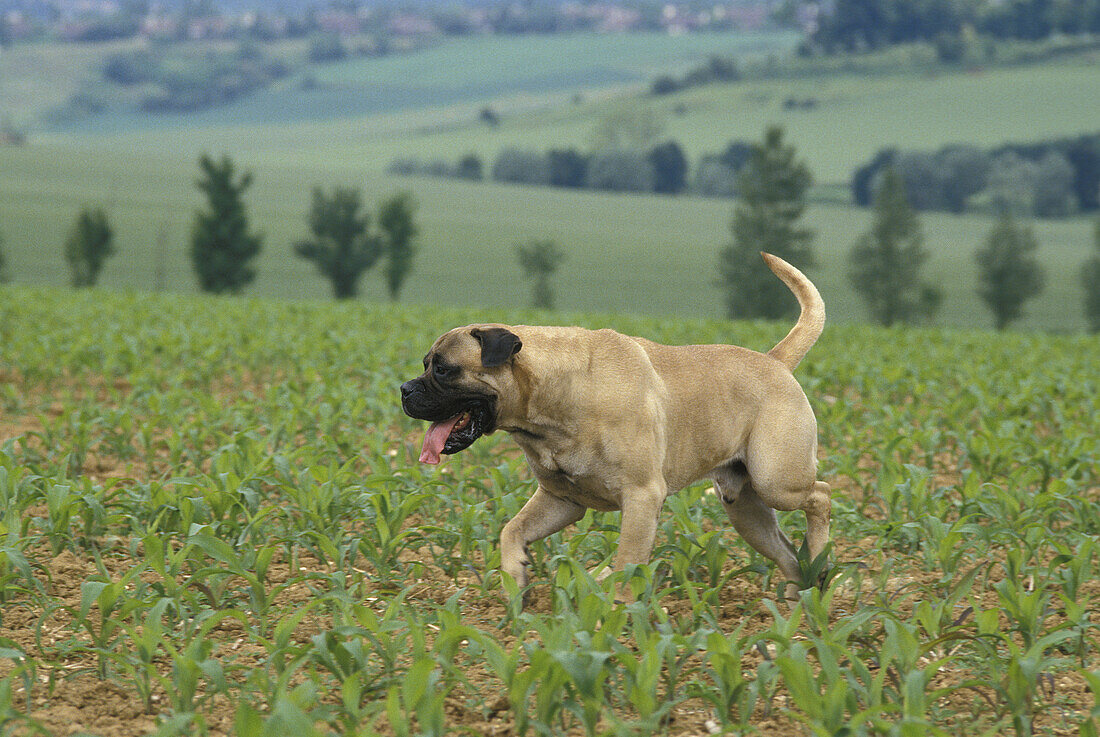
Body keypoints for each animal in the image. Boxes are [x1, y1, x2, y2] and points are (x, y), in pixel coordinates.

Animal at [400, 253, 827, 598]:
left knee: (821, 495)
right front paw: (515, 577)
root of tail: (774, 361)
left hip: (777, 479)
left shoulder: (642, 497)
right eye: (425, 363)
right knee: (787, 552)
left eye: (443, 369)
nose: (404, 389)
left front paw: (607, 598)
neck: (552, 400)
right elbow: (512, 529)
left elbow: (625, 562)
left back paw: (820, 555)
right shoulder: (560, 499)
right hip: (745, 506)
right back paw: (803, 593)